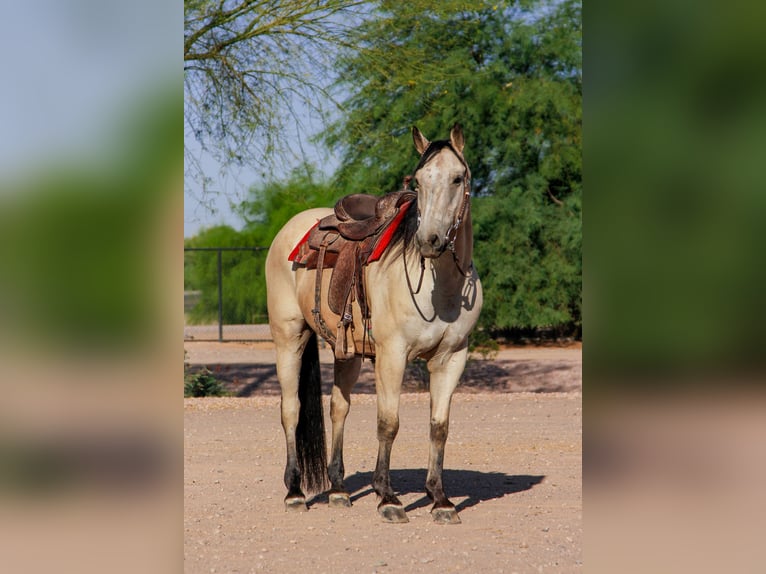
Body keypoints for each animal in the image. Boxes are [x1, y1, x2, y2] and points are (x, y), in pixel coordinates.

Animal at [265, 124, 482, 524]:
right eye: (419, 181)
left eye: (457, 178)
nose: (429, 241)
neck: (440, 288)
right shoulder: (392, 355)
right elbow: (388, 423)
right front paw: (388, 498)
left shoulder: (452, 358)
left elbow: (439, 427)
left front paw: (440, 500)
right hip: (288, 337)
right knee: (291, 410)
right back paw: (295, 491)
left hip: (345, 351)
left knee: (338, 407)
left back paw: (337, 489)